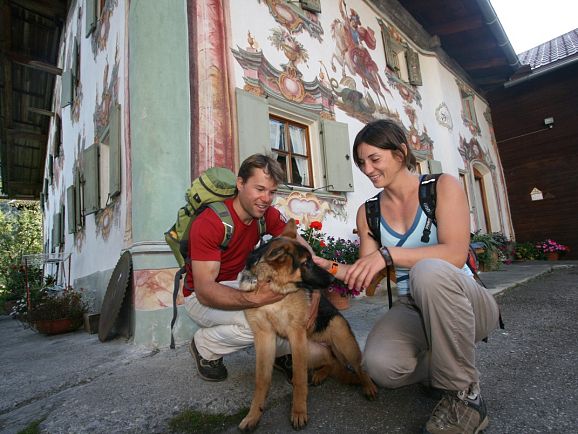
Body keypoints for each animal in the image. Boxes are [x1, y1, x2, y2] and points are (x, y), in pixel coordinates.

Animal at [236, 220, 376, 430]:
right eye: (306, 263)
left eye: (312, 259)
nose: (333, 279)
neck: (274, 287)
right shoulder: (264, 337)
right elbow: (261, 380)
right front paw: (253, 415)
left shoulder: (297, 334)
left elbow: (300, 380)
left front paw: (299, 412)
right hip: (310, 350)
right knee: (331, 362)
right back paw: (321, 373)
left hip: (340, 339)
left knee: (359, 368)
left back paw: (368, 386)